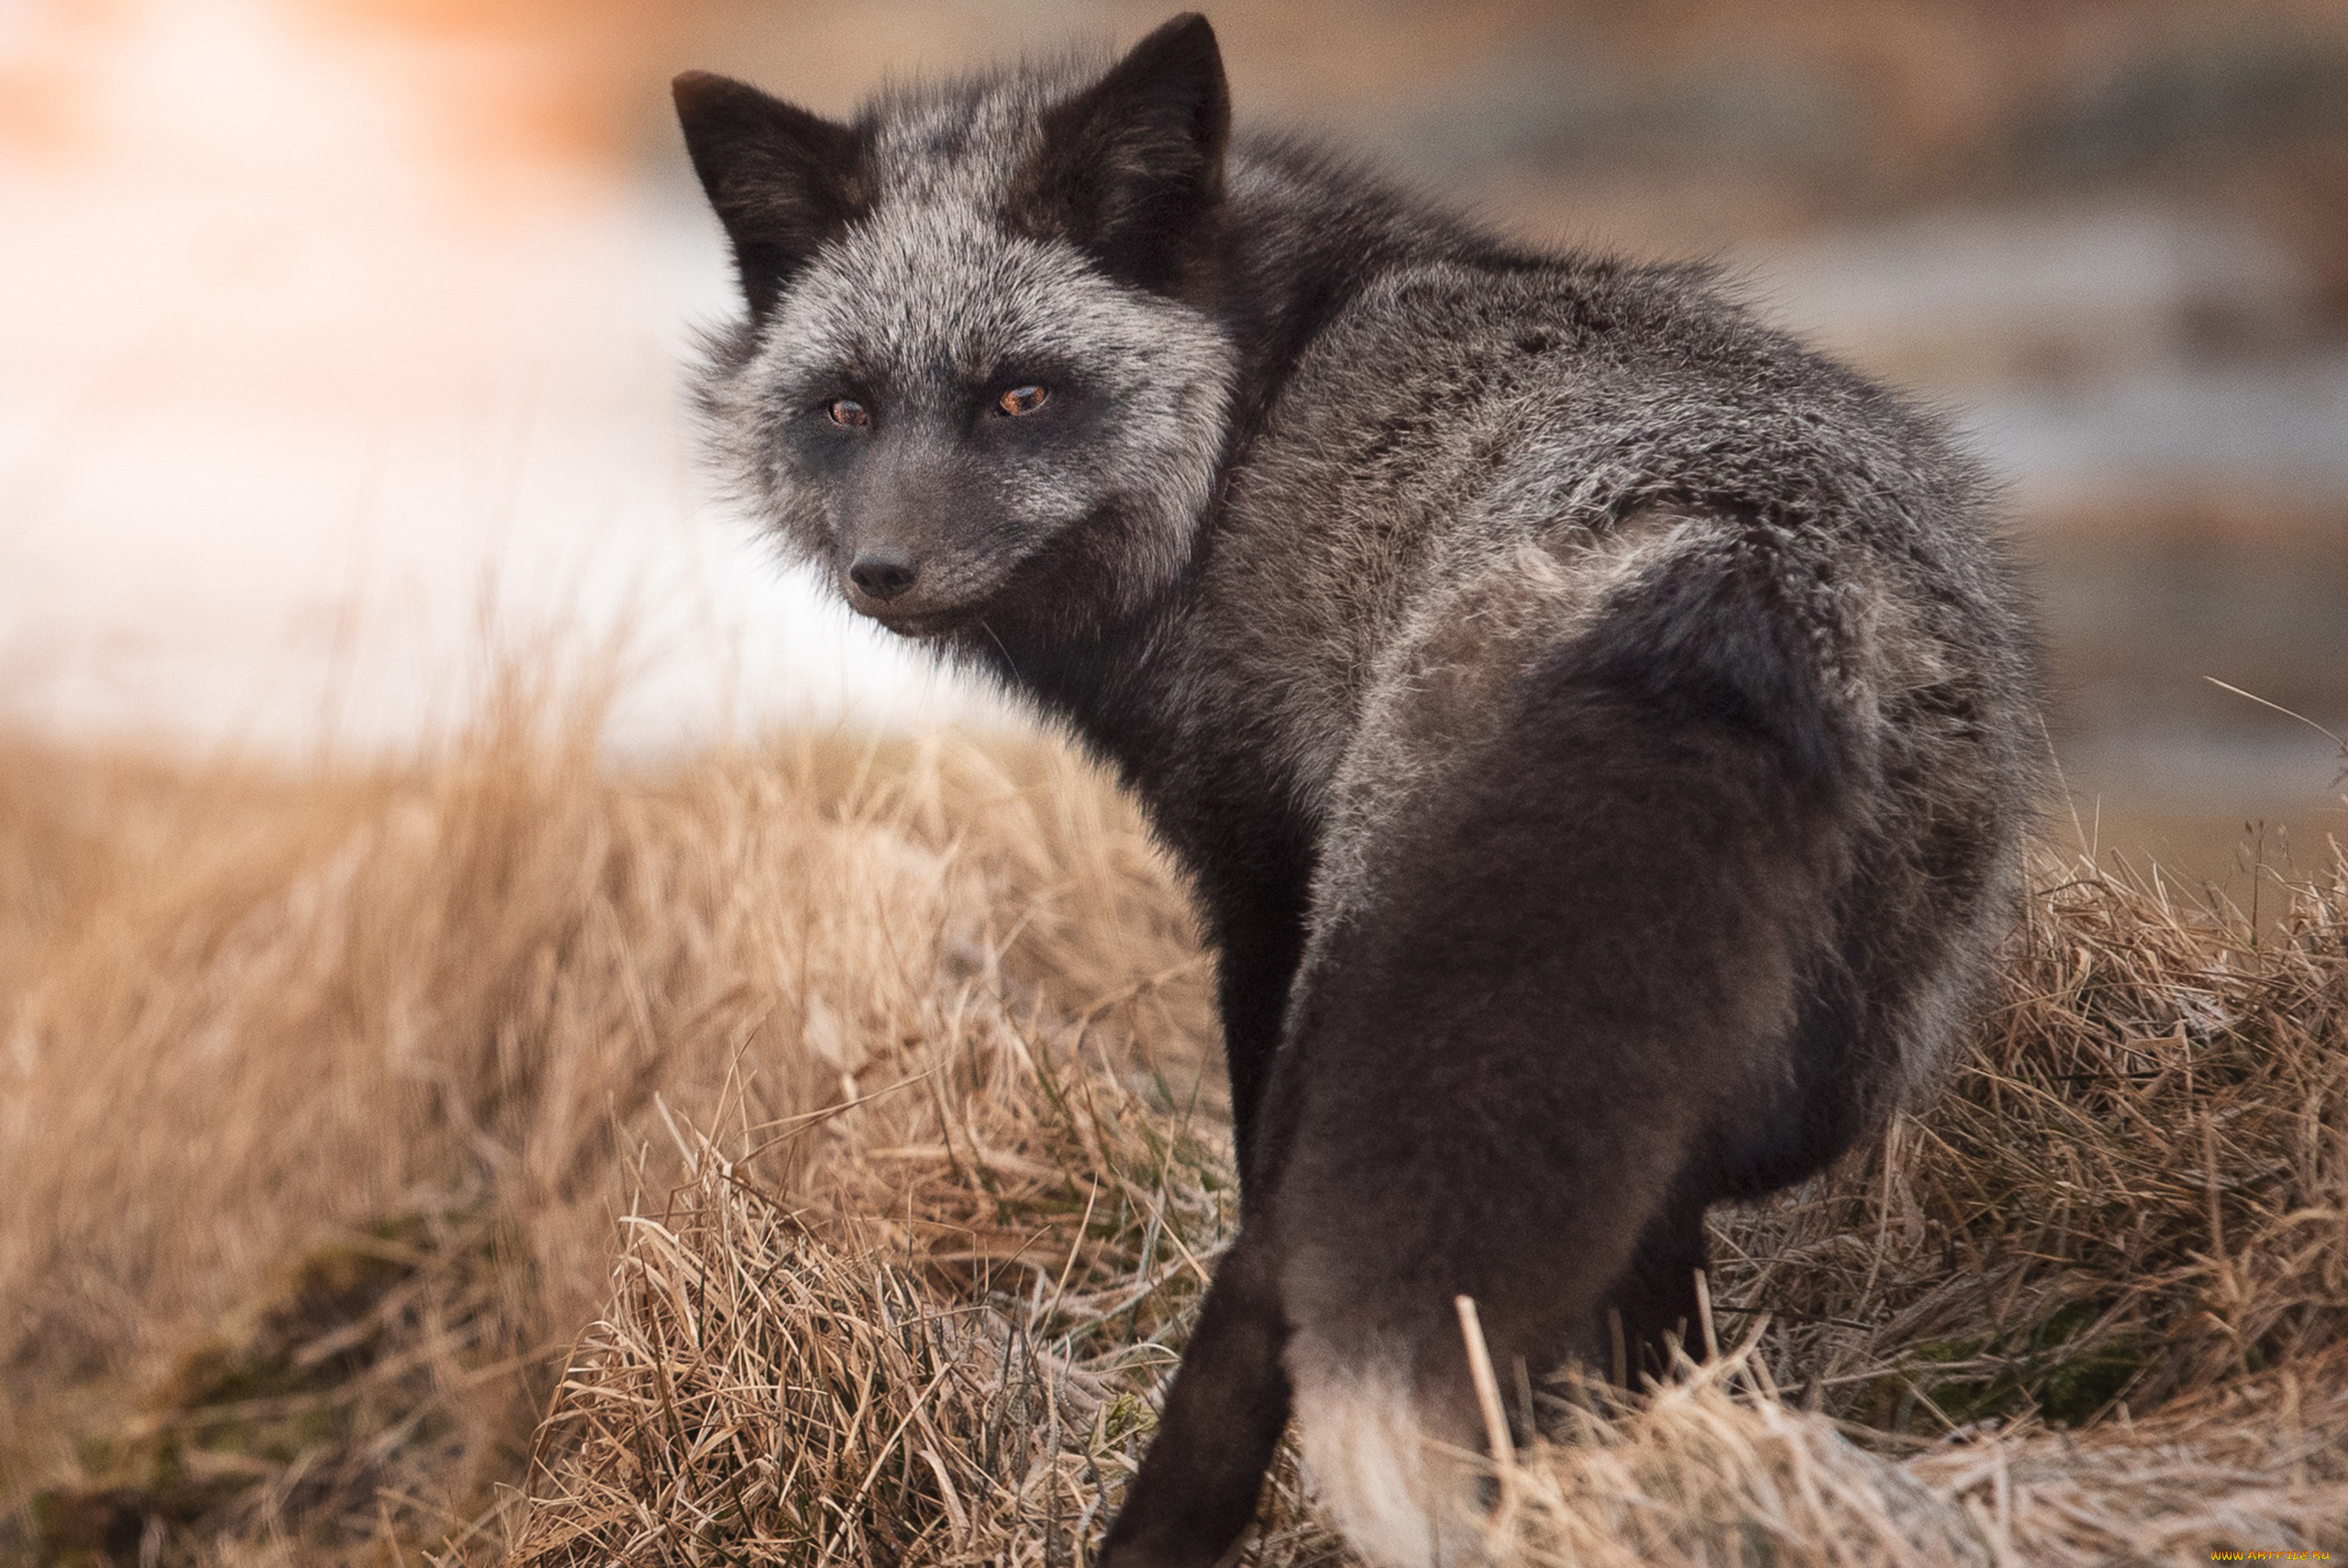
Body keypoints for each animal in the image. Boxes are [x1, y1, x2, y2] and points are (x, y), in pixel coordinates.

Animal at [672, 14, 2039, 1568]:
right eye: (845, 408)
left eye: (1020, 394)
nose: (882, 571)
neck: (1250, 421)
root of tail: (1738, 561)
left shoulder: (1261, 876)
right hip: (1818, 1054)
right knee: (1654, 1248)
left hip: (1368, 1002)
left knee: (1271, 1277)